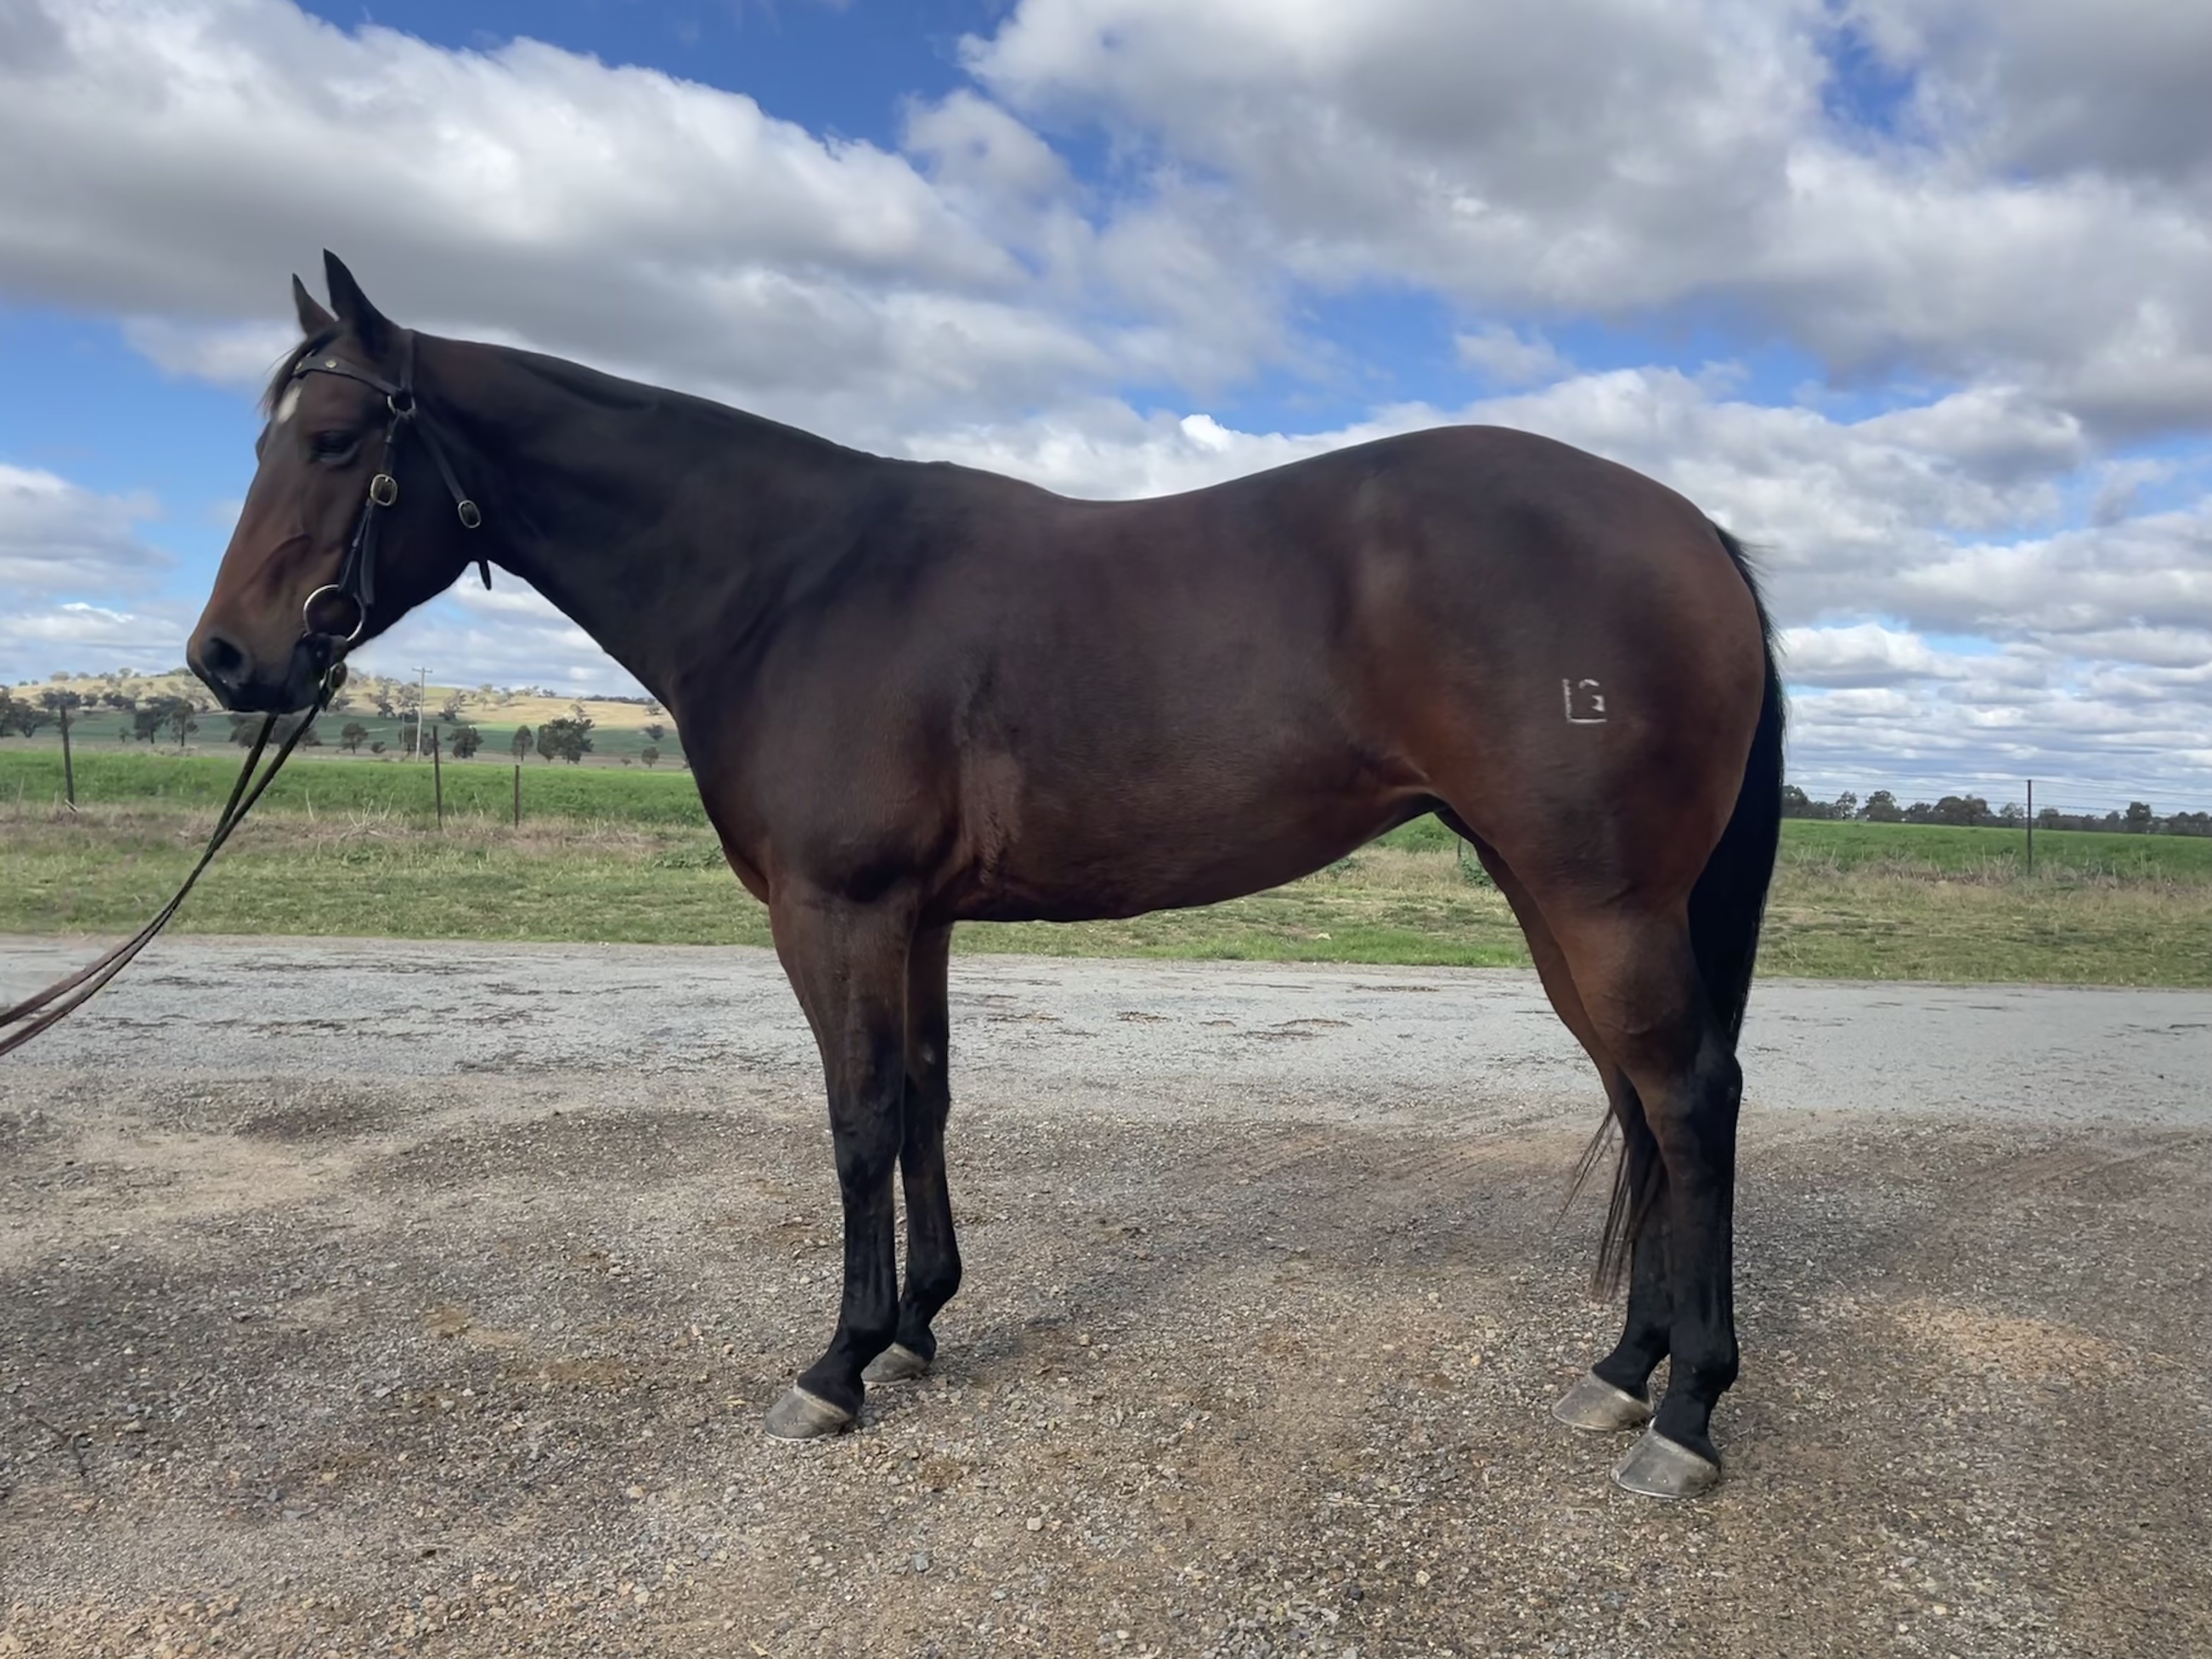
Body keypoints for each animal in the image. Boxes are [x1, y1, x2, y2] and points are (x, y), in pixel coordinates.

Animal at [187, 253, 1783, 1500]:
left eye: (336, 437)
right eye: (264, 437)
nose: (224, 660)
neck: (789, 584)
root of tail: (1687, 526)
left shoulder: (833, 912)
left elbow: (855, 1121)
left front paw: (836, 1365)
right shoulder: (918, 919)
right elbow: (925, 1101)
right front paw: (918, 1328)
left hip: (1601, 901)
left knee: (1689, 1102)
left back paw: (1689, 1412)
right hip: (1550, 896)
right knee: (1640, 1106)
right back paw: (1622, 1370)